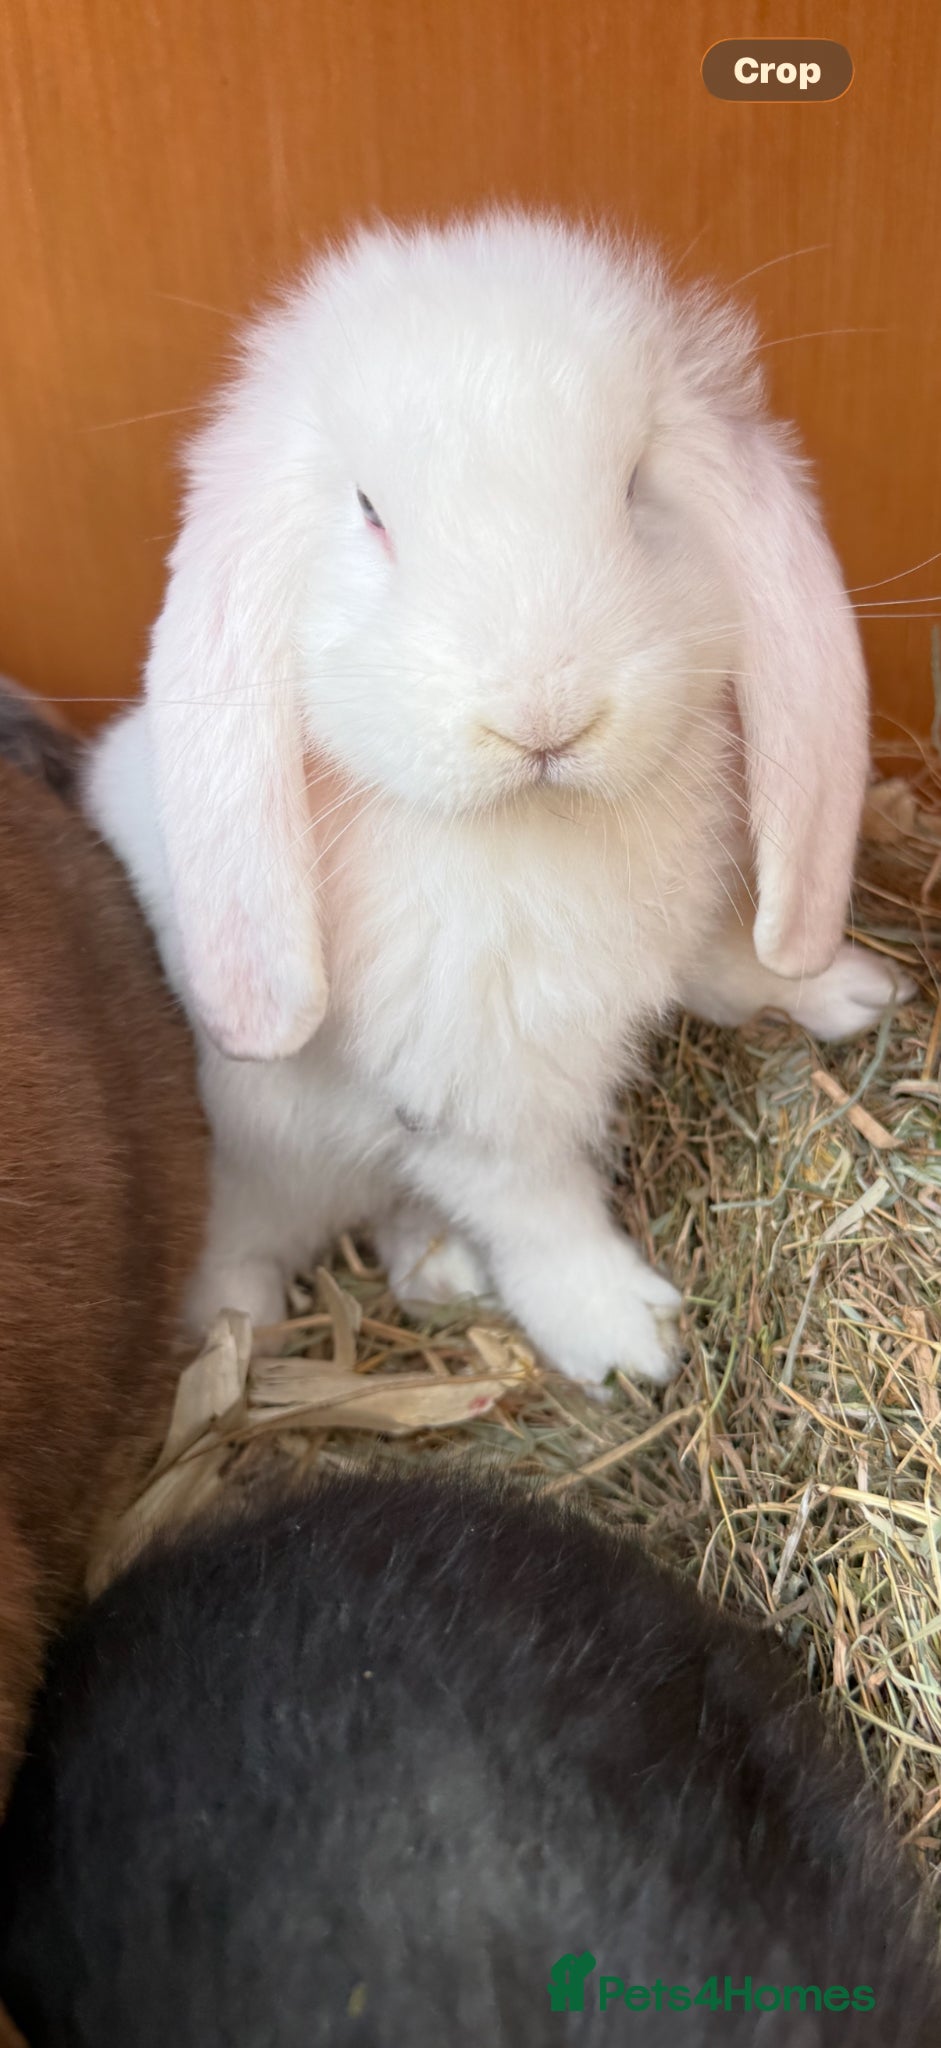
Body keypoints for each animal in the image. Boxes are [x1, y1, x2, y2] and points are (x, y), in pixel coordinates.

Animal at [84, 209, 911, 1388]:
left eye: (633, 486)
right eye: (370, 513)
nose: (544, 714)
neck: (535, 829)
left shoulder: (681, 927)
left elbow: (723, 962)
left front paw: (846, 990)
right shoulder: (469, 1093)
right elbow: (536, 1205)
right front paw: (625, 1336)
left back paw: (437, 1272)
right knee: (252, 1245)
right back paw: (239, 1331)